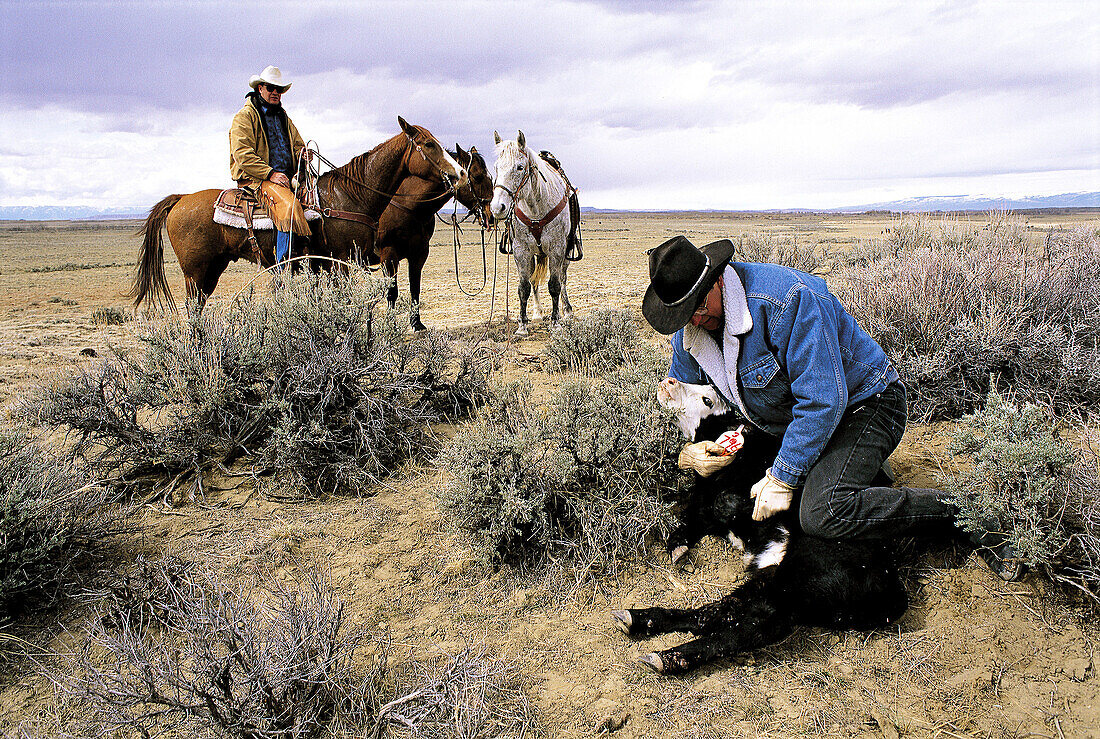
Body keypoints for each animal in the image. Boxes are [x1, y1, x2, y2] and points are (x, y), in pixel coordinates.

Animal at [129, 117, 468, 312]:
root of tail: (180, 200)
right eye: (428, 144)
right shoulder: (341, 263)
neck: (350, 197)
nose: (461, 173)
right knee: (193, 311)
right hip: (195, 273)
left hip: (211, 269)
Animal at [376, 144, 492, 329]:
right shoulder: (388, 256)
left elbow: (415, 288)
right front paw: (391, 326)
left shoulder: (419, 254)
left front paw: (416, 323)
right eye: (478, 176)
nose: (491, 215)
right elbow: (392, 293)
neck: (408, 205)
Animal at [490, 131, 576, 336]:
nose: (497, 208)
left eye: (520, 167)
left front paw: (555, 323)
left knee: (563, 278)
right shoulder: (522, 251)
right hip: (535, 254)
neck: (535, 209)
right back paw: (537, 312)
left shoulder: (556, 249)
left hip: (565, 252)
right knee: (534, 280)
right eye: (496, 168)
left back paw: (567, 310)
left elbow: (554, 285)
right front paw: (522, 325)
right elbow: (524, 287)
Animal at [611, 380, 910, 677]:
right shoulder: (702, 499)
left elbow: (724, 504)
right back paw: (641, 619)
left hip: (805, 573)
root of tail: (892, 584)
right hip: (769, 578)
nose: (669, 381)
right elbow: (693, 515)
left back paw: (669, 656)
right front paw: (678, 546)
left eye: (708, 399)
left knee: (757, 627)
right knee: (718, 613)